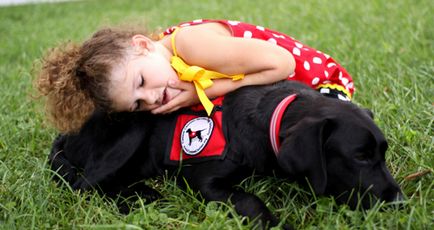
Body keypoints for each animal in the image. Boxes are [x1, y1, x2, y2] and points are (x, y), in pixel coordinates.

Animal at [48, 80, 404, 228]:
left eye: (383, 153)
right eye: (360, 156)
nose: (400, 202)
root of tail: (67, 133)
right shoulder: (204, 181)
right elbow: (250, 200)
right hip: (134, 124)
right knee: (84, 186)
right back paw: (137, 198)